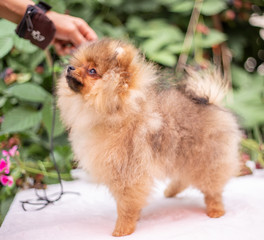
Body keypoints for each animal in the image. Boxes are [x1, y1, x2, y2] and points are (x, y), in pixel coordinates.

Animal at [57, 39, 241, 236]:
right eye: (78, 64)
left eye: (92, 71)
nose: (69, 67)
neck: (115, 114)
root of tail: (210, 101)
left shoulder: (128, 171)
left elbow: (126, 204)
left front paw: (123, 228)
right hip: (182, 155)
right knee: (184, 177)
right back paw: (171, 191)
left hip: (206, 158)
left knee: (212, 188)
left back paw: (216, 210)